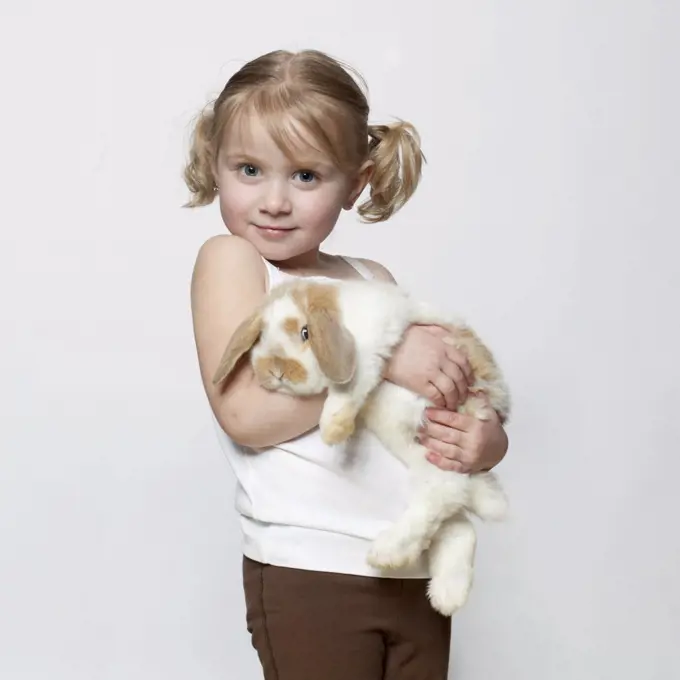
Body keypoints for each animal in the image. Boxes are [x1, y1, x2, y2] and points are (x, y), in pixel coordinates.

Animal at [212, 276, 510, 616]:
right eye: (261, 337)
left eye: (305, 332)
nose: (277, 371)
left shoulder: (371, 340)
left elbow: (348, 385)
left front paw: (333, 429)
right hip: (415, 446)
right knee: (455, 517)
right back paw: (447, 595)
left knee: (442, 492)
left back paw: (387, 553)